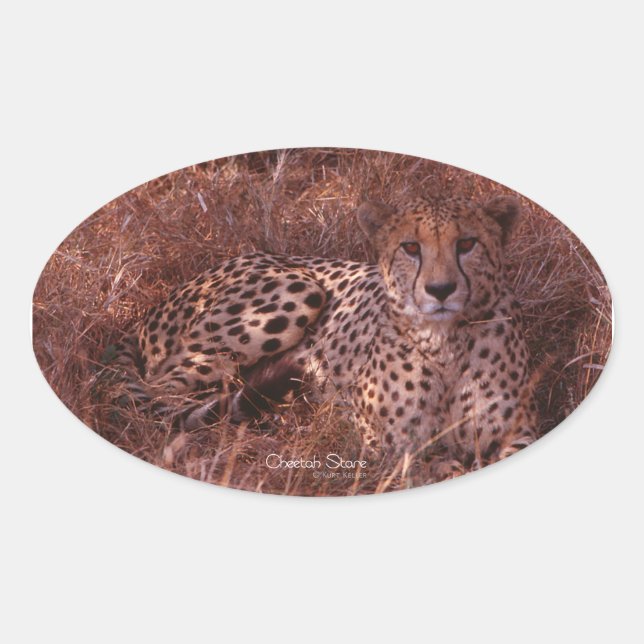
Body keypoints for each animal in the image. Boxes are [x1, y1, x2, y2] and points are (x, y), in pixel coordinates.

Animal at [109, 193, 538, 477]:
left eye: (467, 243)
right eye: (411, 247)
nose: (441, 290)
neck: (445, 342)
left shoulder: (521, 433)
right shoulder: (384, 445)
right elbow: (431, 465)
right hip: (298, 291)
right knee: (161, 391)